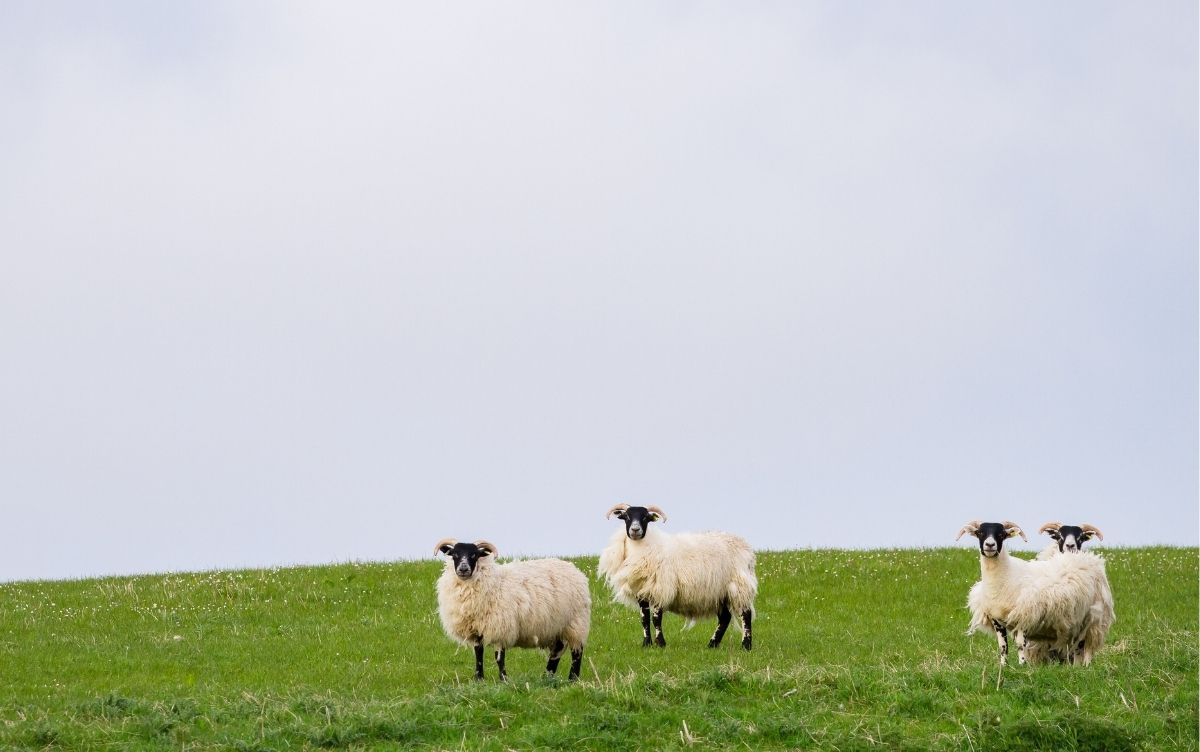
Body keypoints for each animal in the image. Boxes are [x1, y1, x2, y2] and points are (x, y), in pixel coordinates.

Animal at [434, 539, 590, 681]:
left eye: (474, 555)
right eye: (454, 554)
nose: (463, 569)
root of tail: (575, 570)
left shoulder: (500, 627)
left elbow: (499, 658)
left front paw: (503, 679)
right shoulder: (476, 629)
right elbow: (478, 654)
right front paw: (479, 678)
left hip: (576, 622)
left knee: (577, 651)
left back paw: (573, 679)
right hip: (556, 627)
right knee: (557, 651)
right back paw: (547, 677)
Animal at [597, 504, 757, 650]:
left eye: (645, 517)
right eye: (627, 516)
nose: (635, 530)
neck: (646, 547)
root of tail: (746, 548)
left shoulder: (660, 588)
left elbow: (656, 619)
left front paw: (661, 643)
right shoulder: (641, 592)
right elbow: (644, 619)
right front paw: (646, 644)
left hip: (739, 585)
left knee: (746, 614)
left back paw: (746, 645)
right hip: (719, 591)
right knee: (725, 618)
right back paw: (712, 644)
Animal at [957, 520, 1114, 667]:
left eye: (1001, 534)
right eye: (980, 533)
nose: (990, 545)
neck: (1006, 576)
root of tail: (1088, 559)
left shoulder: (1023, 616)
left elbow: (1021, 645)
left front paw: (1022, 665)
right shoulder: (996, 619)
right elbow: (1002, 646)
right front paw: (1003, 666)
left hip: (1091, 617)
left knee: (1083, 646)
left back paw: (1081, 666)